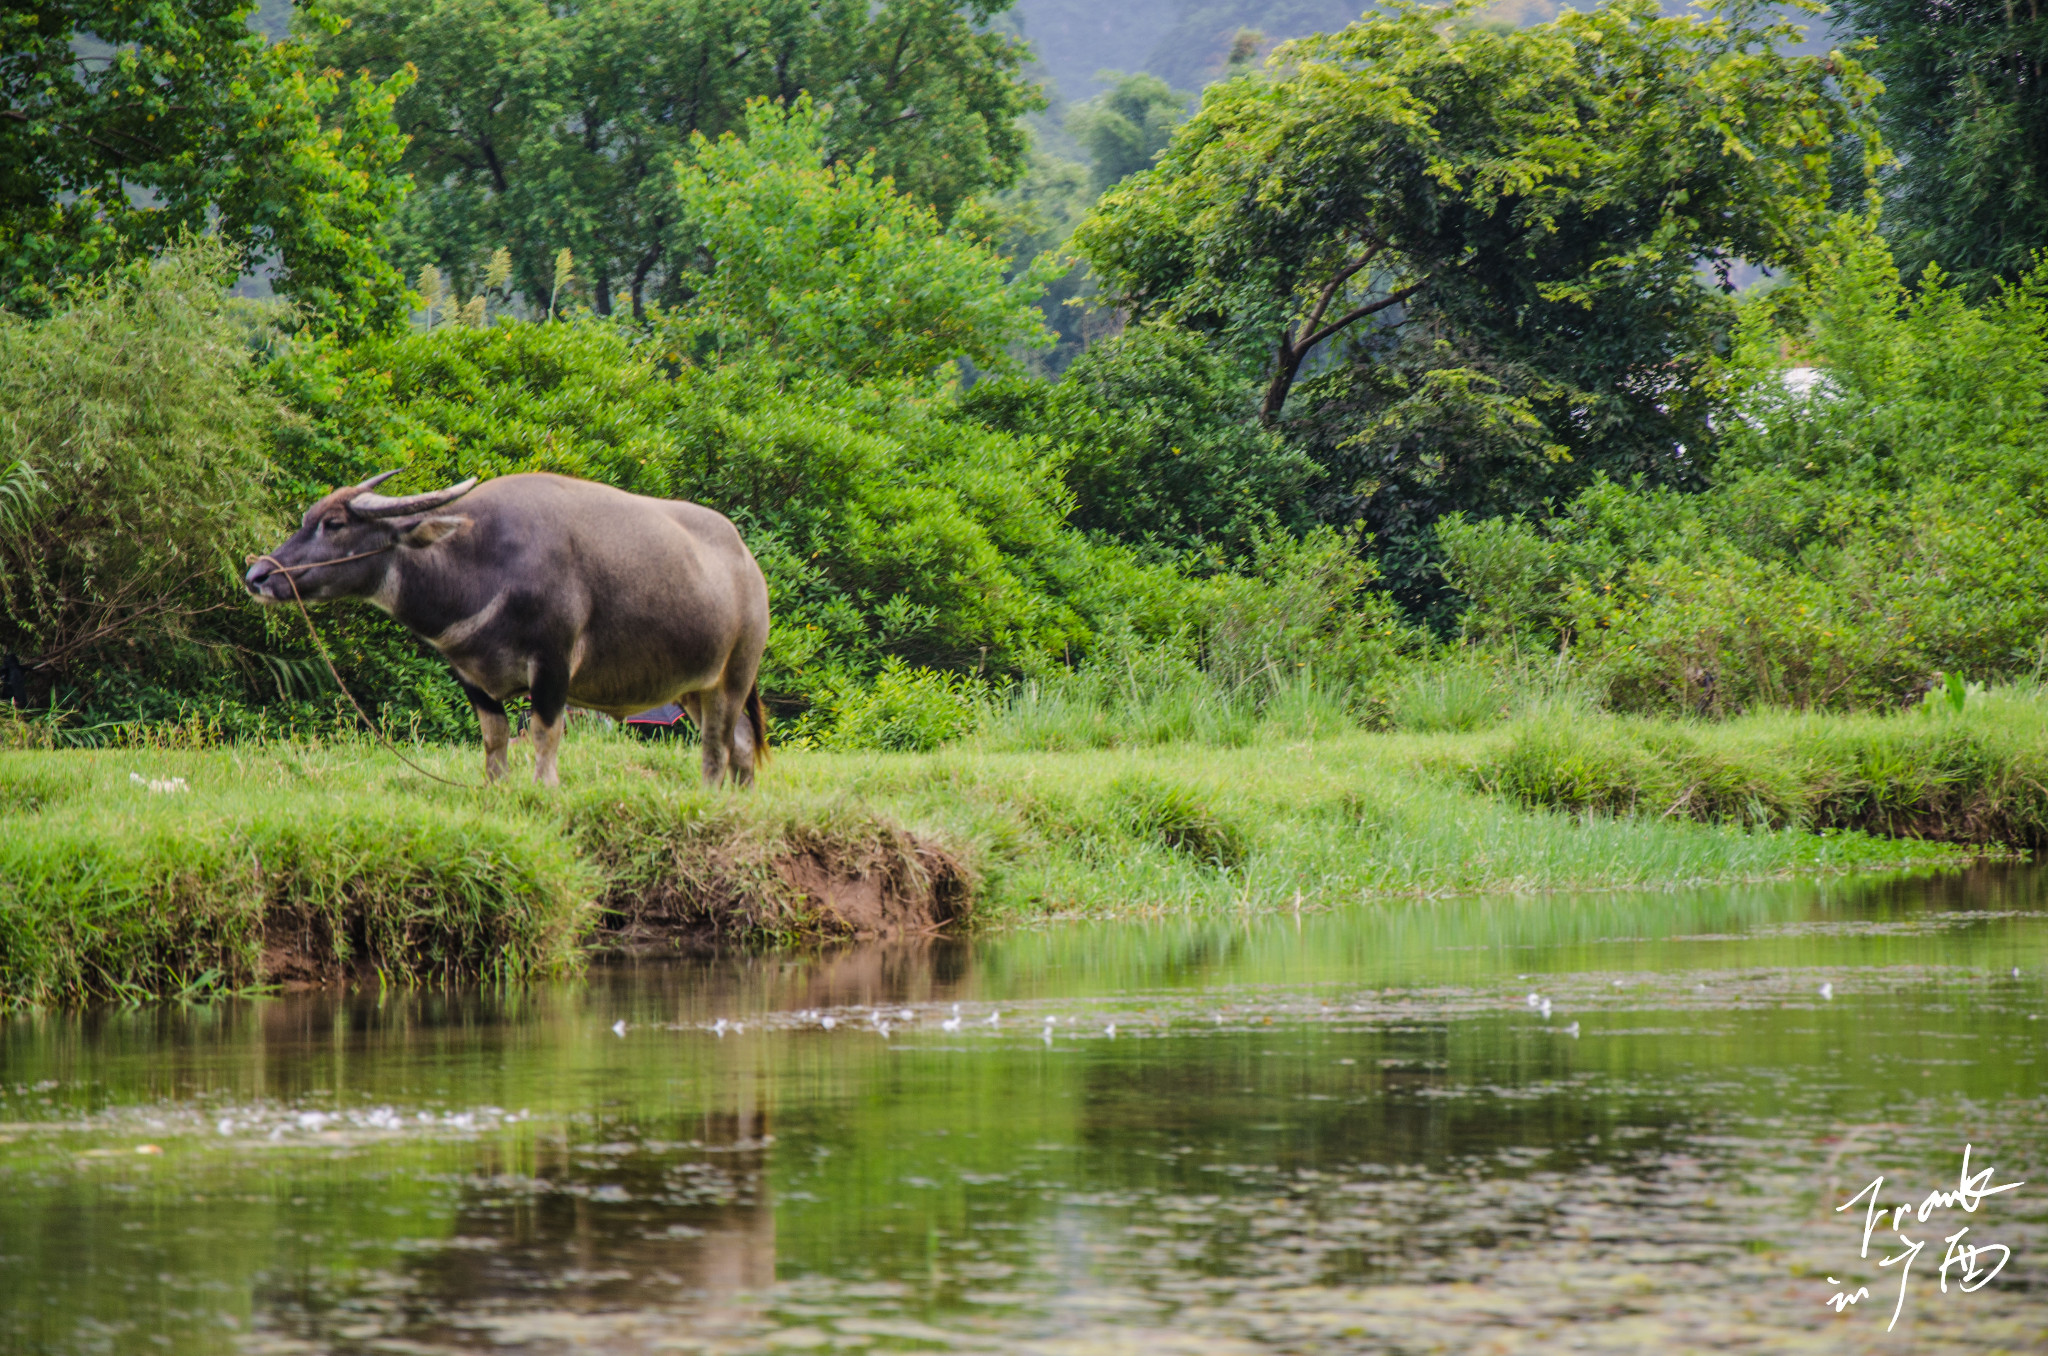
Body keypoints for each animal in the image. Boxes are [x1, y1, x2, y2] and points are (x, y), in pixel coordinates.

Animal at [245, 471, 770, 786]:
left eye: (334, 524)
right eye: (308, 517)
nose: (258, 575)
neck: (482, 566)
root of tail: (749, 567)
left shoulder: (553, 664)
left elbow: (543, 733)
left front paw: (544, 788)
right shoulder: (469, 675)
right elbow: (495, 737)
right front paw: (496, 788)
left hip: (734, 676)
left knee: (717, 745)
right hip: (693, 689)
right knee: (742, 743)